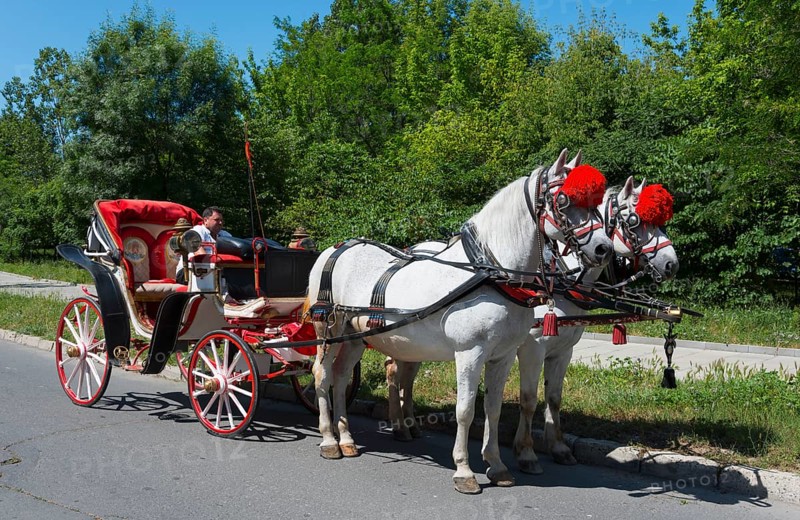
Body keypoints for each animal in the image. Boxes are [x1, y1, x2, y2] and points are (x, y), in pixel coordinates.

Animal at [306, 149, 614, 494]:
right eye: (563, 200)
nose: (603, 248)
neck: (492, 273)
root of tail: (334, 249)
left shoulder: (504, 355)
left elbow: (493, 409)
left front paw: (497, 465)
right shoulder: (470, 353)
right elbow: (465, 410)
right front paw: (464, 470)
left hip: (354, 337)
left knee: (342, 376)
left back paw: (346, 439)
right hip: (328, 330)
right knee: (322, 375)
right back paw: (329, 439)